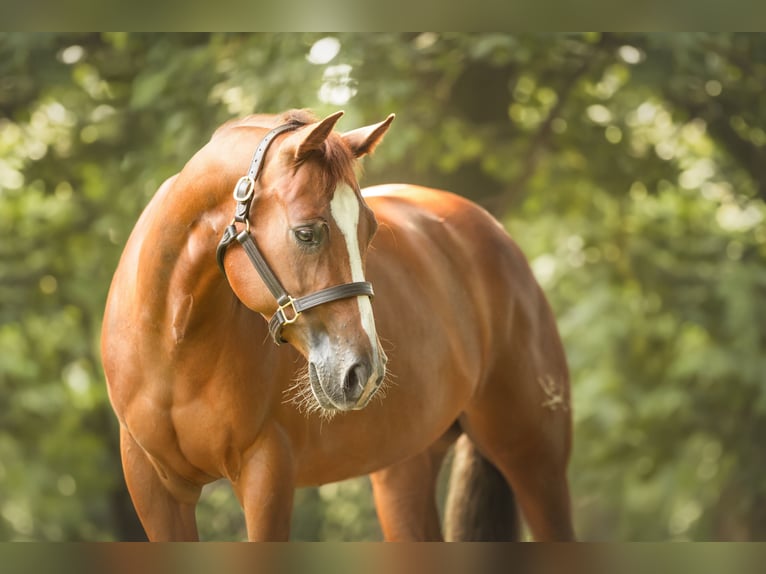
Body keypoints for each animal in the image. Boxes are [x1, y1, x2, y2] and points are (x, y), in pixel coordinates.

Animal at [100, 109, 576, 544]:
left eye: (370, 231)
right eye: (306, 233)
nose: (364, 372)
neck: (174, 346)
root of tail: (491, 231)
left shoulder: (267, 475)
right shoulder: (155, 490)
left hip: (535, 462)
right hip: (404, 469)